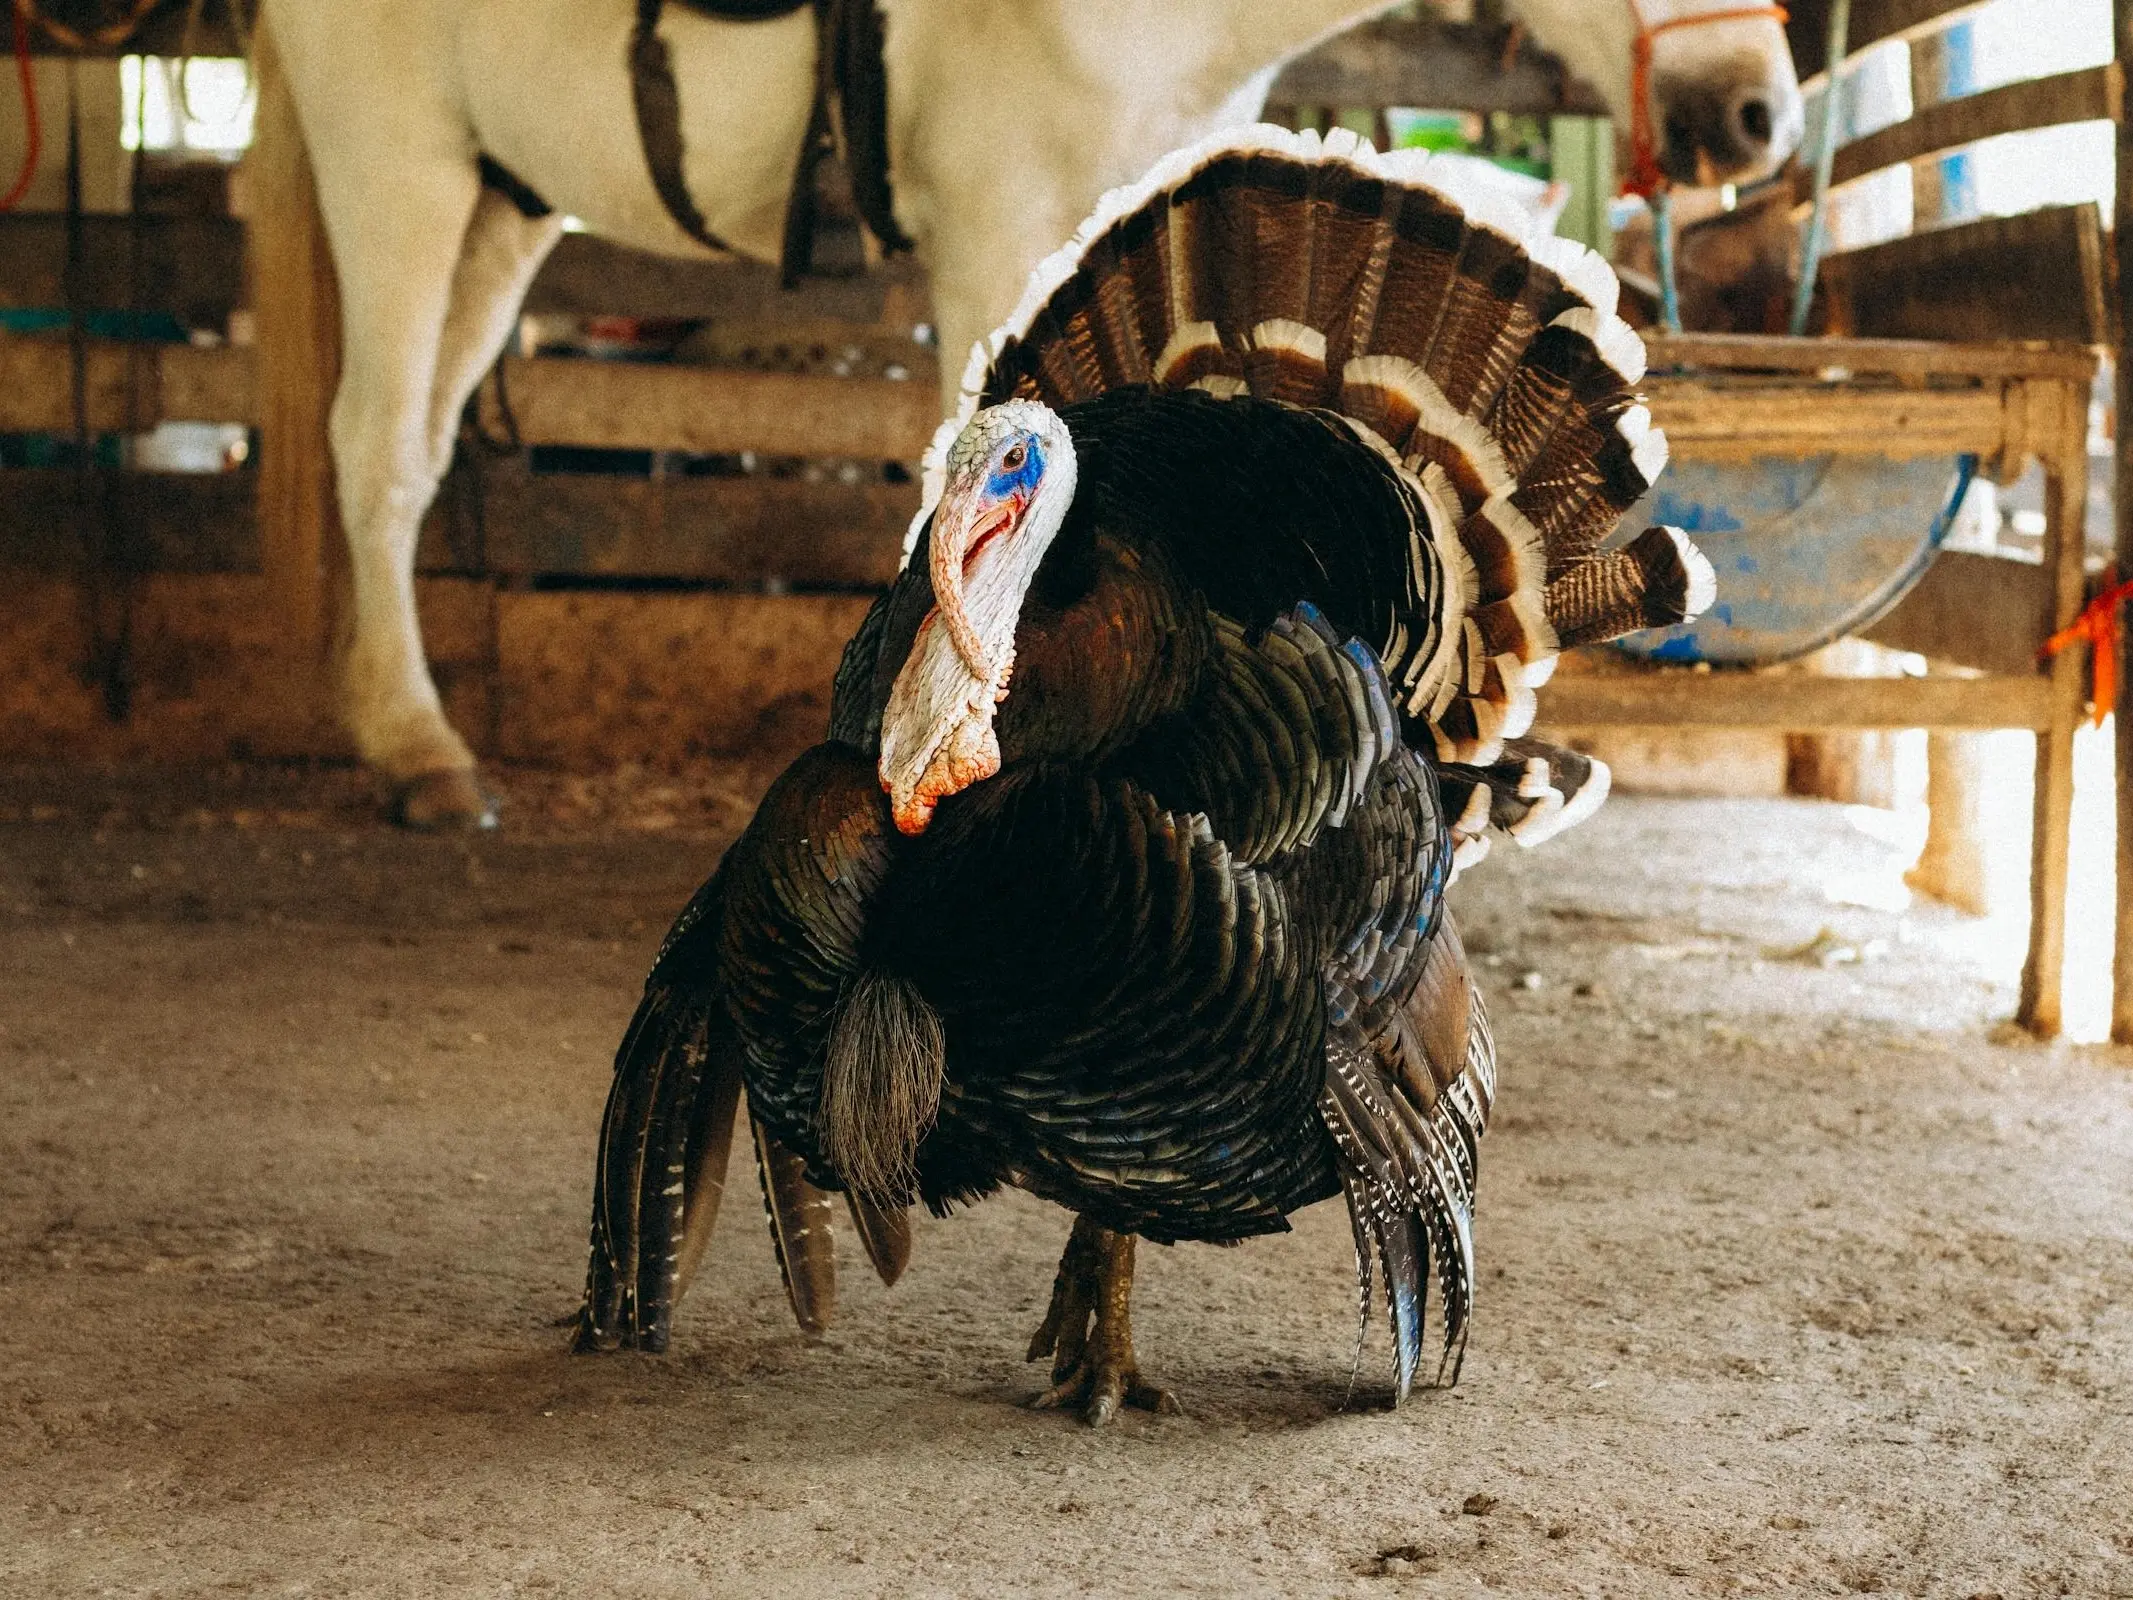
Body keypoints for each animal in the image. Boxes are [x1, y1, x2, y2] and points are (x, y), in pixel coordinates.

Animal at [256, 0, 1802, 827]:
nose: (1756, 120)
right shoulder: (992, 224)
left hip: (502, 199)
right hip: (398, 160)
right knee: (372, 447)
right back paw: (417, 747)